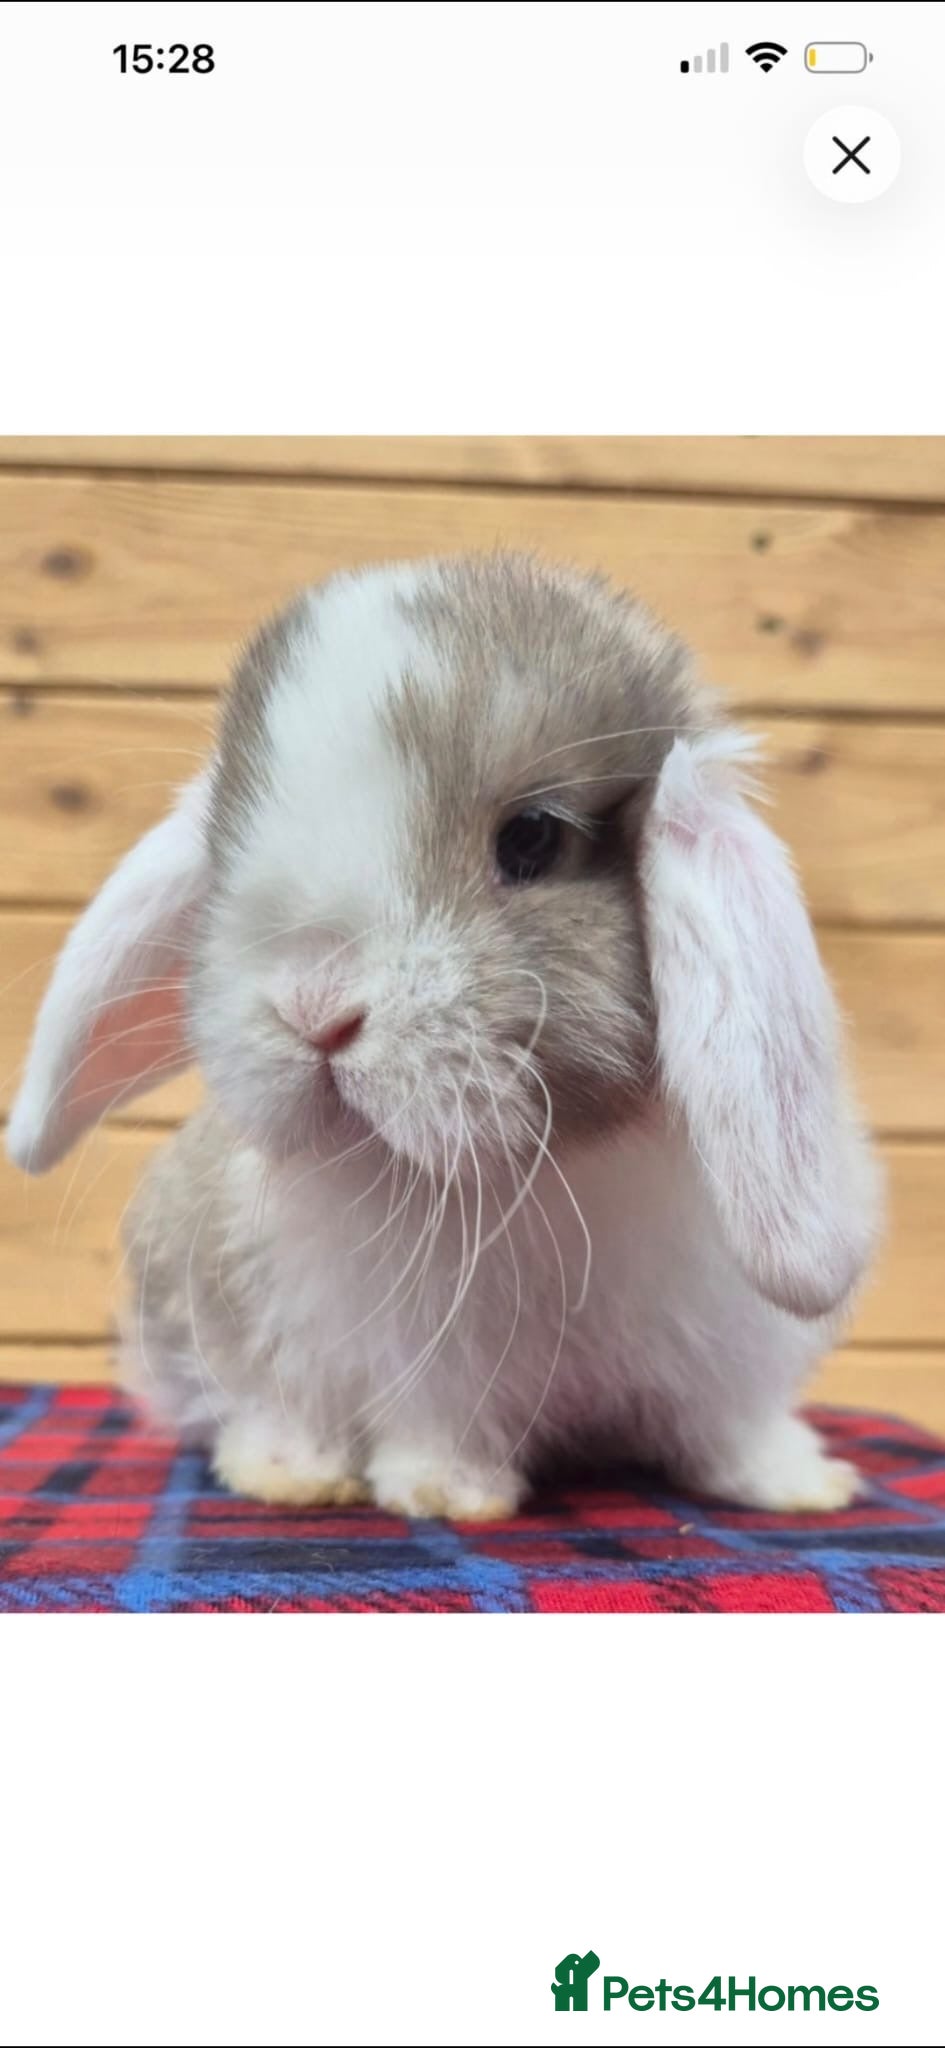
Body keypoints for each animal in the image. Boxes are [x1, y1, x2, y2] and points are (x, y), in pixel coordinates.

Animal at [7, 552, 882, 1520]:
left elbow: (735, 1426)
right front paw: (447, 1495)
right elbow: (439, 1425)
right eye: (223, 846)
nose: (313, 1007)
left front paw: (800, 1486)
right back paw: (292, 1475)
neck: (552, 1171)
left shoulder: (731, 1355)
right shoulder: (422, 1364)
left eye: (531, 838)